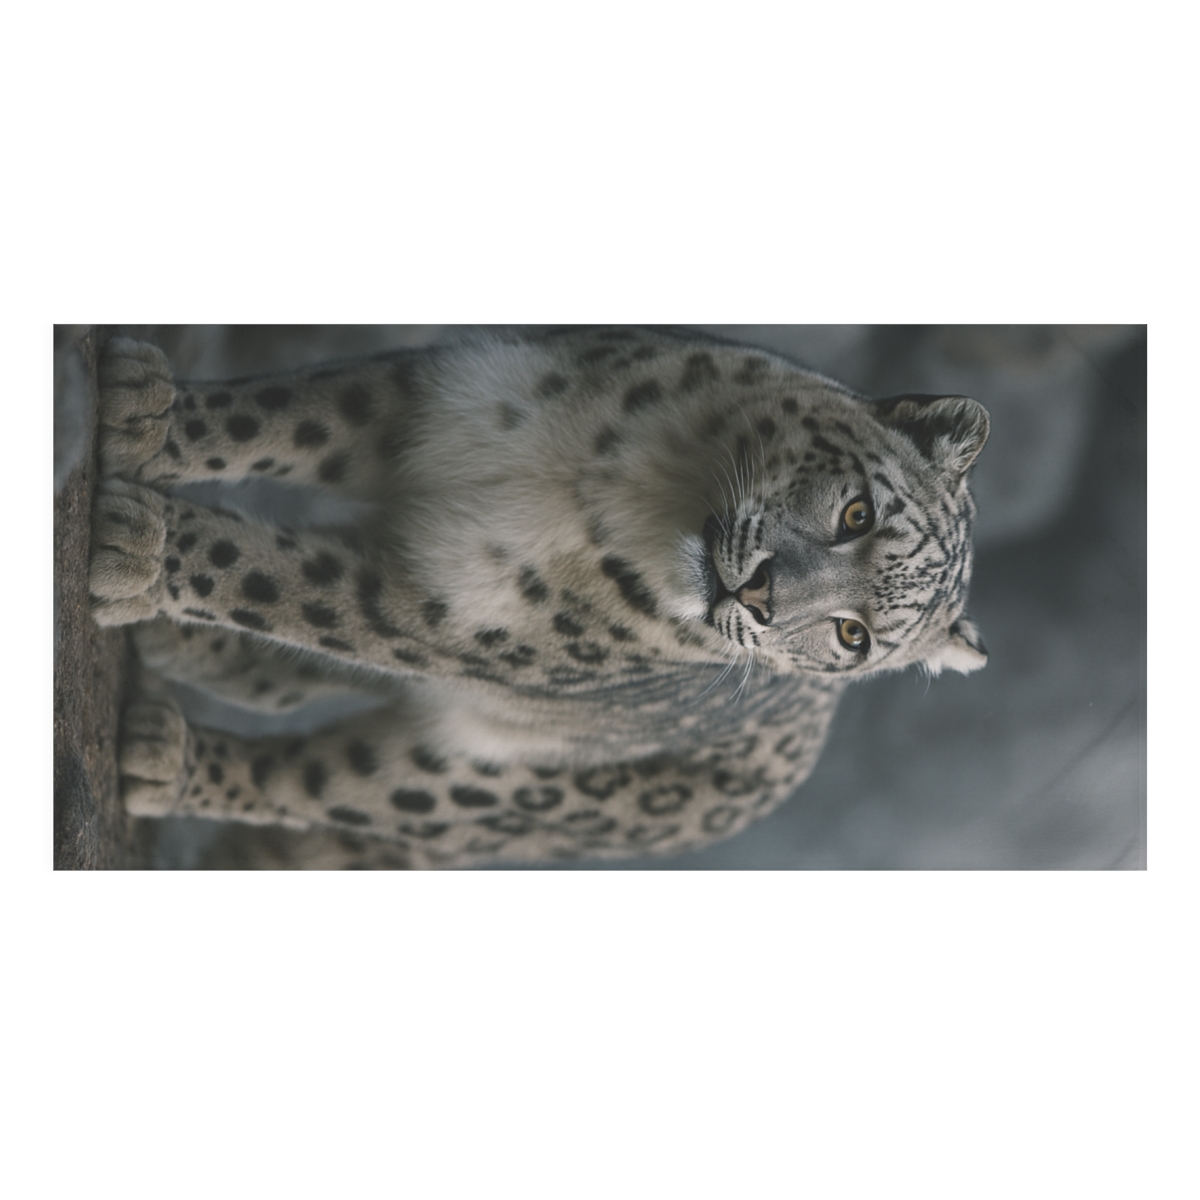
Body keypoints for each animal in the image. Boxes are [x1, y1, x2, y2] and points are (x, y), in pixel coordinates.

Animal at [88, 326, 990, 868]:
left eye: (852, 636)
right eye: (857, 513)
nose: (762, 594)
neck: (633, 483)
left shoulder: (443, 615)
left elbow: (276, 584)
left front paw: (138, 543)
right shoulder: (431, 400)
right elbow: (277, 419)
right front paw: (139, 408)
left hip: (482, 790)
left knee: (312, 782)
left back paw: (161, 753)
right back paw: (177, 650)